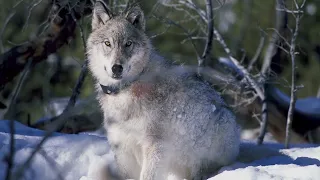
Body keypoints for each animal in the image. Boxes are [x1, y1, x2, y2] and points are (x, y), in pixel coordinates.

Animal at [86, 0, 241, 179]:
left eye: (128, 44)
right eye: (107, 43)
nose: (117, 68)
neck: (126, 89)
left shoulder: (156, 146)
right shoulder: (123, 148)